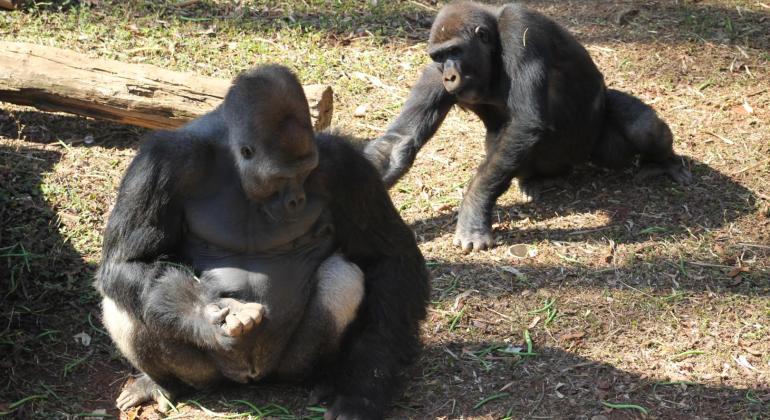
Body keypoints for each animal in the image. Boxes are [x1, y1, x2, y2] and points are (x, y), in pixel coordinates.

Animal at [94, 64, 428, 418]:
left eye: (306, 172)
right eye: (281, 178)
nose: (296, 200)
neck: (233, 160)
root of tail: (250, 377)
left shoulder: (344, 164)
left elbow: (389, 257)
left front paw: (367, 383)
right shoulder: (161, 162)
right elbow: (128, 262)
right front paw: (206, 316)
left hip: (288, 366)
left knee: (342, 276)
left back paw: (325, 376)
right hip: (210, 374)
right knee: (127, 299)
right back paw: (164, 383)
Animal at [364, 1, 692, 251]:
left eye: (455, 51)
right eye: (439, 57)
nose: (449, 76)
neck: (492, 50)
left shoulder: (519, 29)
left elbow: (524, 122)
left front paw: (472, 211)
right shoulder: (432, 75)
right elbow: (400, 141)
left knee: (644, 128)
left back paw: (664, 162)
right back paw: (540, 180)